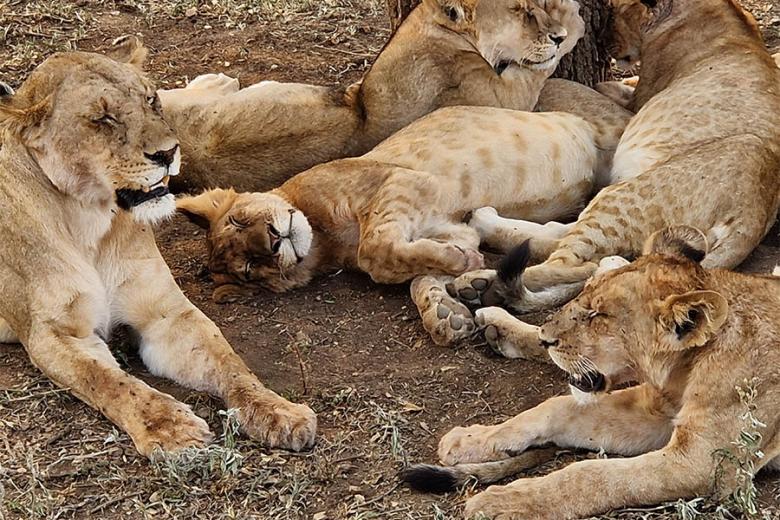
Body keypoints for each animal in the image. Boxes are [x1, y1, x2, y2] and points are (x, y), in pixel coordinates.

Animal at [0, 40, 316, 458]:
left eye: (149, 100)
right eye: (102, 118)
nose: (168, 153)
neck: (89, 223)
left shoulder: (166, 314)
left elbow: (229, 362)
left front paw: (278, 410)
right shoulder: (54, 335)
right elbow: (110, 383)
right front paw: (171, 429)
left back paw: (220, 81)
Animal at [158, 0, 585, 193]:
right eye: (520, 10)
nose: (554, 33)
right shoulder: (502, 97)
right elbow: (538, 67)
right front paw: (572, 21)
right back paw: (216, 79)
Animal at [176, 81, 632, 304]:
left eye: (240, 219)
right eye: (249, 268)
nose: (273, 241)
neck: (324, 240)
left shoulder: (402, 182)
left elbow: (374, 247)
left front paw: (460, 263)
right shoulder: (448, 221)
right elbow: (393, 259)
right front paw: (462, 260)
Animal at [402, 226, 780, 519]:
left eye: (599, 315)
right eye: (586, 300)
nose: (548, 339)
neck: (685, 368)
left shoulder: (703, 463)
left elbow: (593, 475)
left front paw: (505, 501)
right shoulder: (654, 410)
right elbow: (556, 408)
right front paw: (468, 439)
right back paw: (498, 325)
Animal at [413, 0, 780, 354]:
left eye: (615, 12)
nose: (604, 41)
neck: (723, 15)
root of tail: (752, 217)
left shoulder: (644, 90)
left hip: (625, 196)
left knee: (566, 266)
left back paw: (484, 287)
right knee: (565, 243)